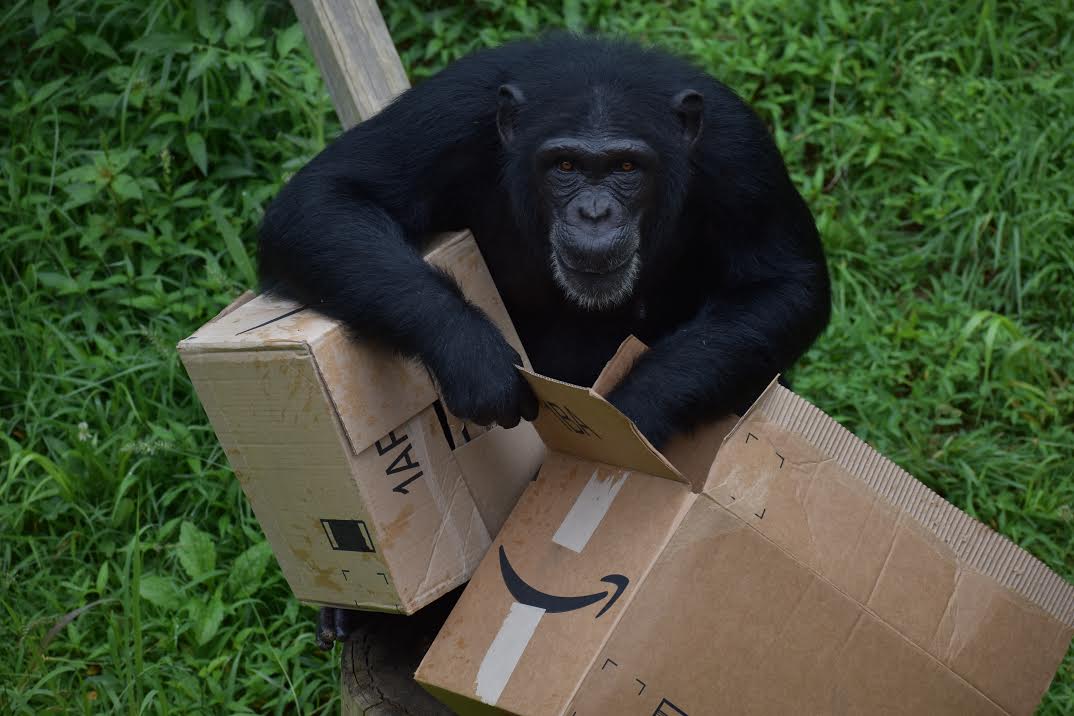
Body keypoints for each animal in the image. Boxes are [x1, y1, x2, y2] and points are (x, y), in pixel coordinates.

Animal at [257, 32, 829, 648]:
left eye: (627, 166)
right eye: (565, 165)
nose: (595, 211)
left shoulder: (738, 148)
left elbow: (784, 283)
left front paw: (627, 417)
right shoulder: (448, 111)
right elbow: (326, 198)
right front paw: (475, 359)